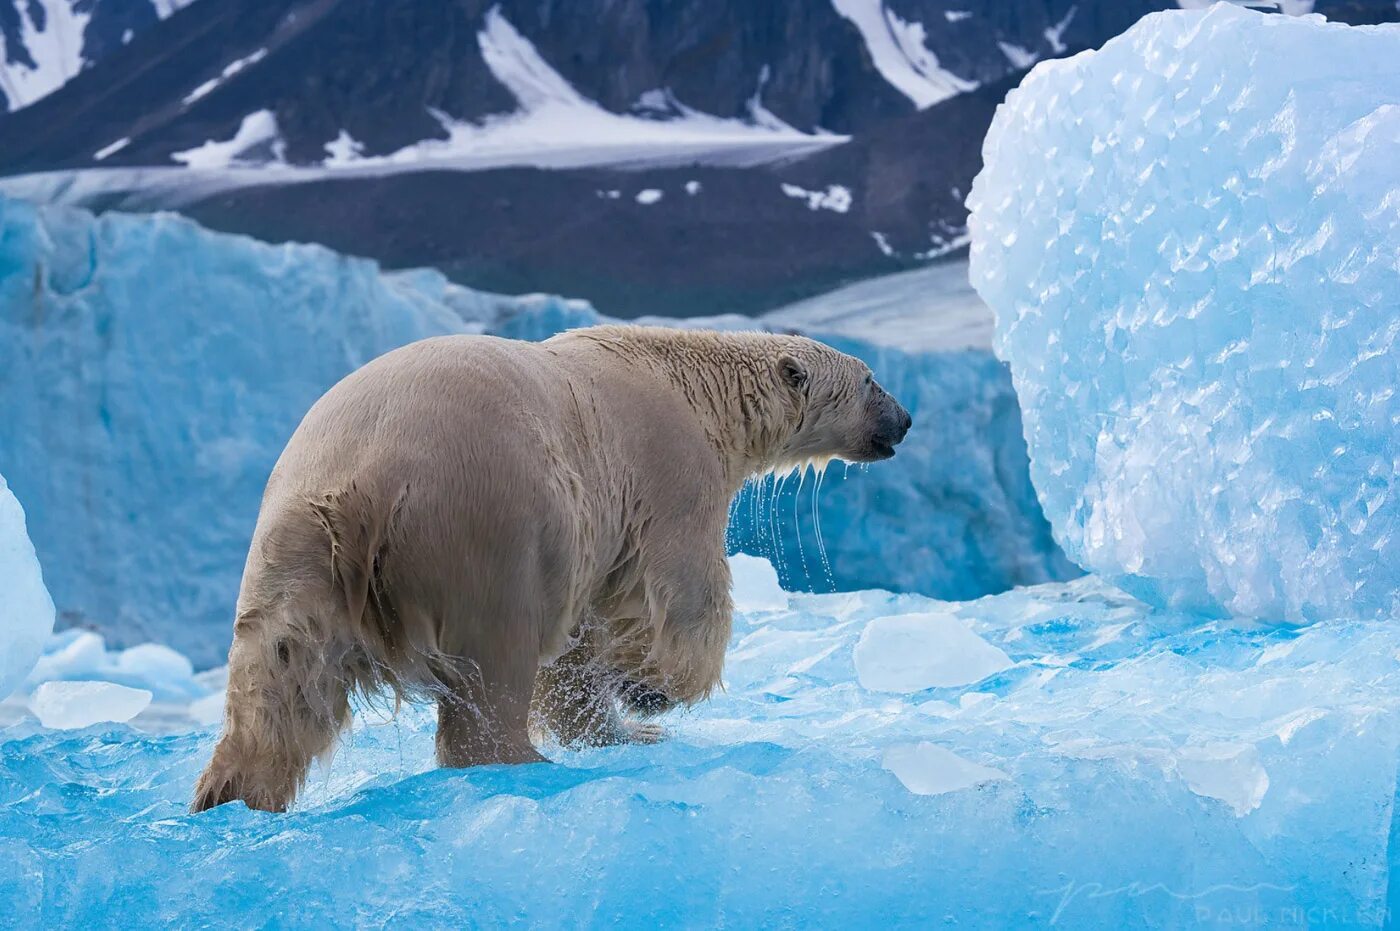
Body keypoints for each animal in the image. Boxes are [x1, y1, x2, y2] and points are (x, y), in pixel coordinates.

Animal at [194, 323, 907, 812]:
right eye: (871, 379)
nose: (904, 418)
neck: (694, 384)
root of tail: (366, 490)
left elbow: (580, 645)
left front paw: (621, 724)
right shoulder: (671, 474)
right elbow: (680, 590)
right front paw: (649, 691)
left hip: (295, 537)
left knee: (281, 670)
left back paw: (231, 791)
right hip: (487, 530)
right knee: (495, 664)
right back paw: (521, 760)